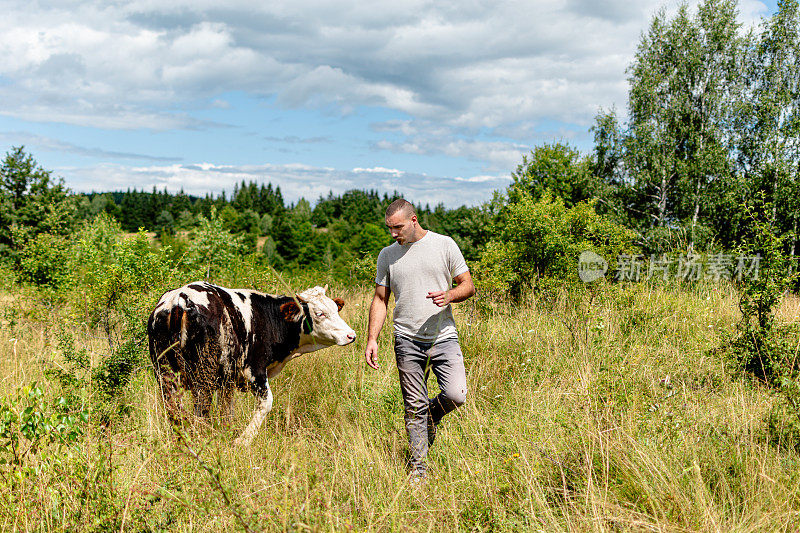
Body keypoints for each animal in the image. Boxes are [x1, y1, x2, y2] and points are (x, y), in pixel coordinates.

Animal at [147, 282, 354, 444]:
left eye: (336, 309)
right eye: (319, 313)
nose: (351, 335)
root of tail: (180, 300)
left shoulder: (227, 379)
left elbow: (226, 408)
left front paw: (227, 433)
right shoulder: (255, 371)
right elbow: (266, 403)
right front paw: (242, 440)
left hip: (166, 373)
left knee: (174, 410)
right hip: (203, 377)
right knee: (200, 409)